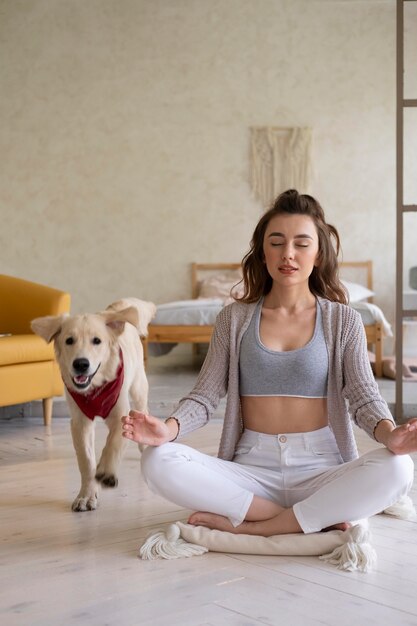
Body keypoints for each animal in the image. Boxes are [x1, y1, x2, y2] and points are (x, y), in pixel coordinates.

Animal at [30, 298, 154, 512]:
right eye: (69, 340)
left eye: (97, 341)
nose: (81, 364)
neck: (95, 389)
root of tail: (117, 308)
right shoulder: (80, 422)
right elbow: (86, 460)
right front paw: (86, 495)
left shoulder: (120, 414)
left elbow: (113, 444)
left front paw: (106, 472)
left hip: (138, 388)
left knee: (142, 411)